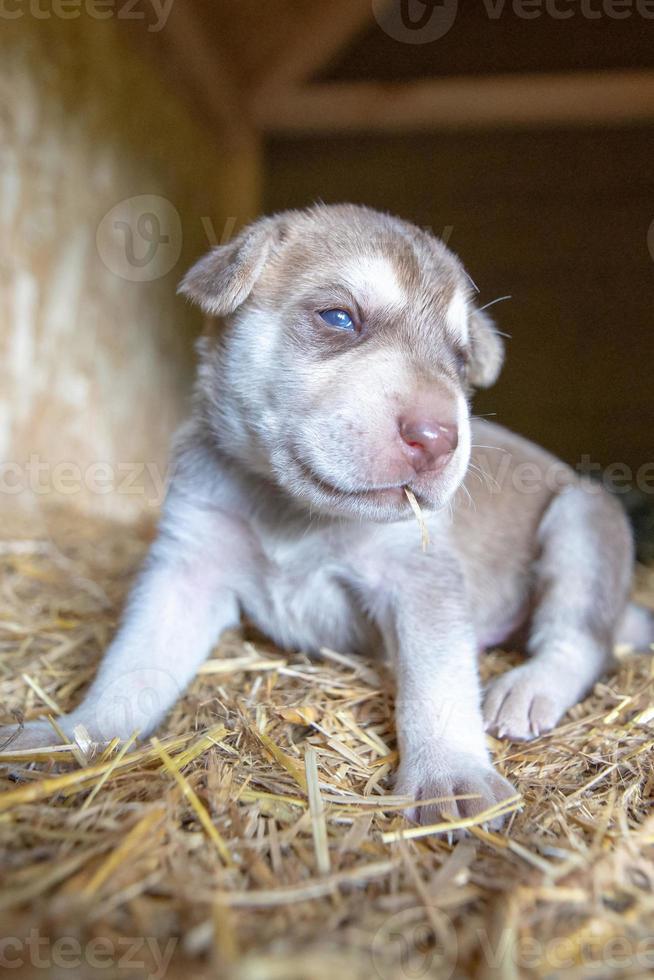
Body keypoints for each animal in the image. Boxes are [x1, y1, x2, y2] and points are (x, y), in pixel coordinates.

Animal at [3, 207, 652, 828]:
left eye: (461, 359)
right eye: (339, 318)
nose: (438, 438)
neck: (292, 511)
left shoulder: (420, 579)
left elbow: (437, 680)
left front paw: (451, 774)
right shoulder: (186, 568)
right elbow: (131, 665)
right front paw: (71, 735)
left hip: (581, 518)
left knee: (578, 640)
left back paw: (528, 686)